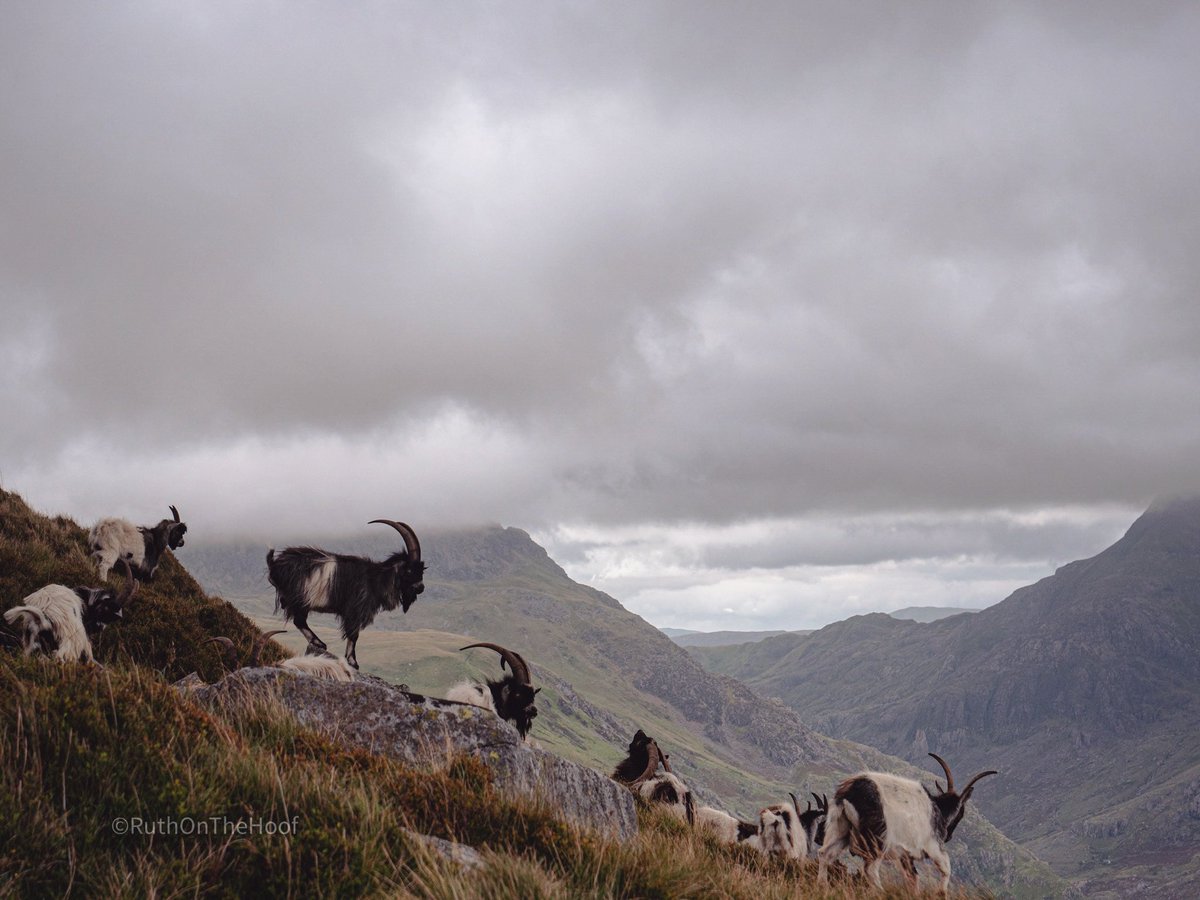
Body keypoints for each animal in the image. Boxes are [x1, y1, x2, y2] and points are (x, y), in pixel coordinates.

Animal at [265, 519, 424, 670]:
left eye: (421, 570)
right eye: (409, 570)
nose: (421, 588)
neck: (375, 579)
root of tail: (275, 564)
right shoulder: (355, 610)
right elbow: (353, 635)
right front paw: (353, 661)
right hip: (299, 599)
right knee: (299, 621)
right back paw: (319, 643)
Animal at [817, 753, 997, 893]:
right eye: (961, 813)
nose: (949, 836)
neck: (938, 809)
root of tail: (849, 793)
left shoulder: (905, 854)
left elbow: (913, 878)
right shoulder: (932, 844)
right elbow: (946, 868)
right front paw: (941, 892)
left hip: (839, 828)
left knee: (824, 854)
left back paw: (823, 887)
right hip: (877, 839)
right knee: (870, 869)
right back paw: (882, 892)